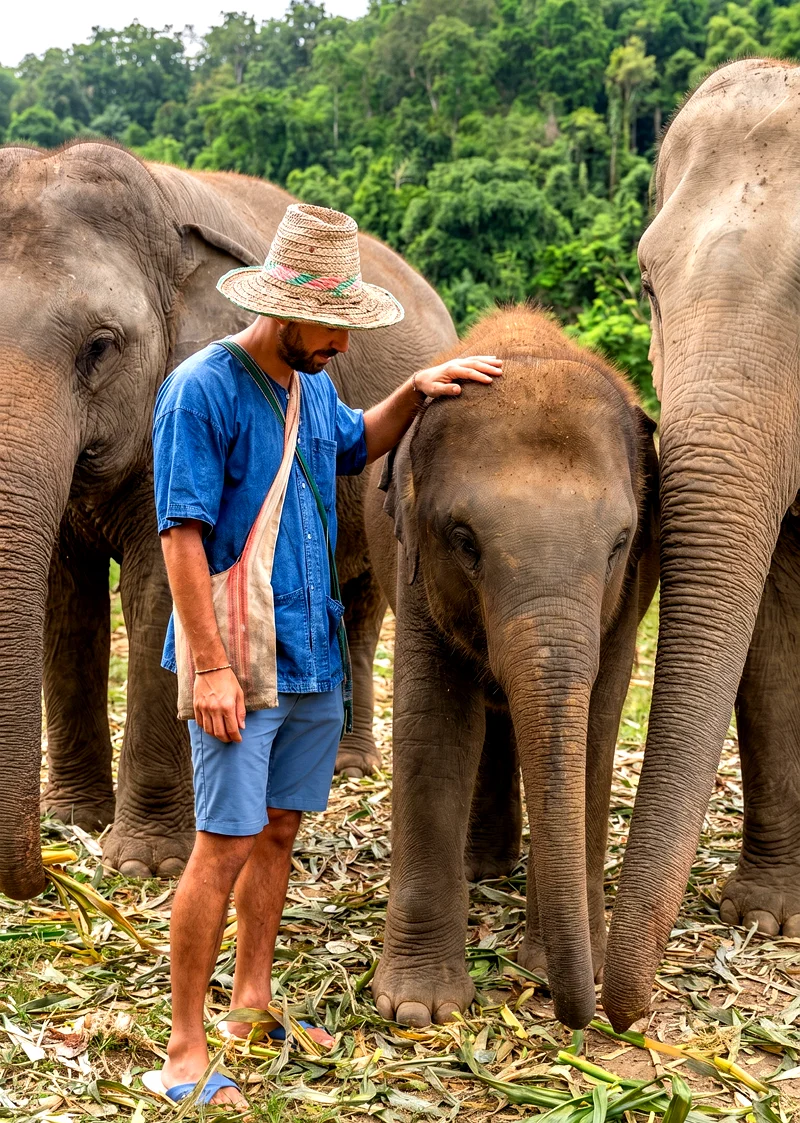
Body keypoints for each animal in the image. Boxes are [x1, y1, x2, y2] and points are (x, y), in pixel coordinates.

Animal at [0, 140, 455, 901]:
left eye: (100, 346)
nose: (47, 877)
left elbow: (160, 588)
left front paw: (144, 864)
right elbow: (67, 600)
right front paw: (74, 818)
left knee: (364, 604)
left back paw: (348, 768)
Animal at [364, 306, 659, 1030]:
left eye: (619, 542)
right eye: (464, 541)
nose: (588, 1013)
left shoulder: (629, 592)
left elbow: (596, 727)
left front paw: (562, 962)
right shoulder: (416, 565)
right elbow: (436, 725)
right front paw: (418, 1010)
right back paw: (483, 870)